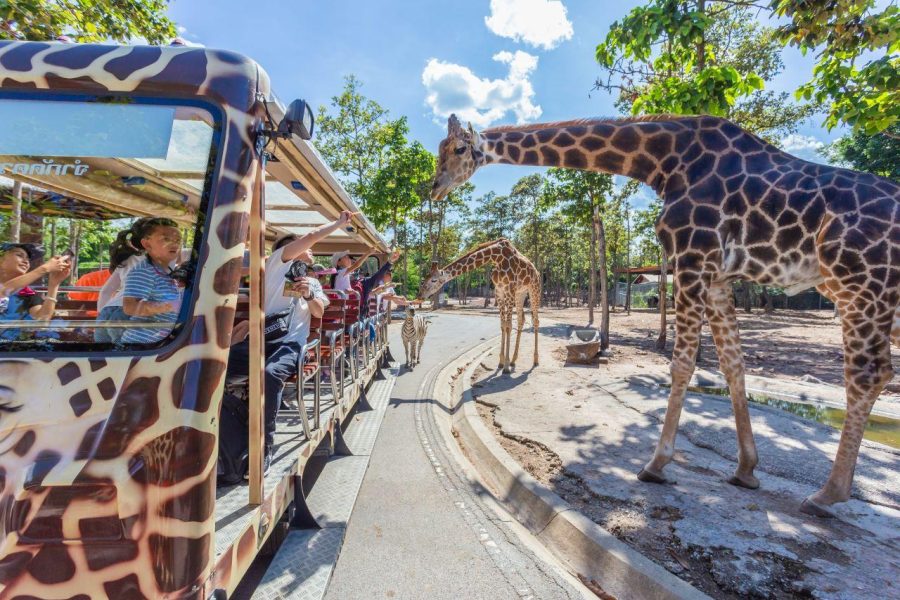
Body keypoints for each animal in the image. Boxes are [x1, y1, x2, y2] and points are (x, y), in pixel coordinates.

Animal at [416, 238, 536, 370]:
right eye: (425, 278)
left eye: (434, 280)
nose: (419, 296)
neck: (497, 257)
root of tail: (535, 269)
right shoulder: (499, 291)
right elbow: (503, 325)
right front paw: (501, 362)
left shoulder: (509, 290)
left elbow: (508, 326)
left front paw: (506, 366)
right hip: (520, 293)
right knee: (521, 319)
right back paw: (514, 360)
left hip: (533, 288)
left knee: (536, 320)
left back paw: (535, 361)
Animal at [432, 113, 896, 516]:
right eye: (439, 149)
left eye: (458, 148)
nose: (434, 187)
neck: (662, 162)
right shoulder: (718, 277)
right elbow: (733, 365)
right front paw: (746, 469)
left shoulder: (693, 259)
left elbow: (683, 363)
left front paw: (655, 464)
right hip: (871, 292)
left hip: (862, 283)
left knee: (869, 374)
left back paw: (827, 494)